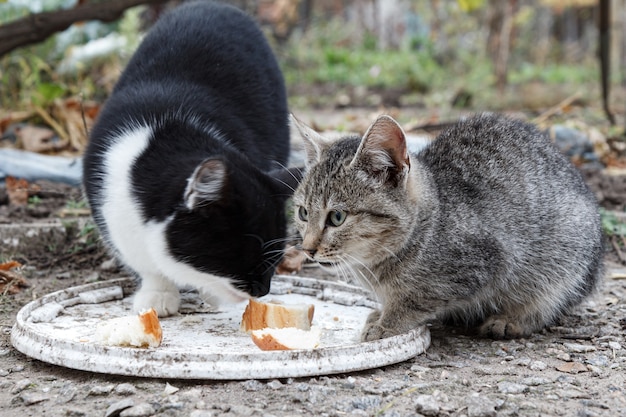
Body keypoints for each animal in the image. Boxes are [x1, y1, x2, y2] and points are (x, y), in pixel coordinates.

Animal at [83, 0, 298, 312]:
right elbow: (147, 265)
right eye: (244, 256)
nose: (263, 290)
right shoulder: (112, 216)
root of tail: (214, 5)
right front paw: (159, 293)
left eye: (276, 257)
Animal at [290, 112, 604, 340]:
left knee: (548, 302)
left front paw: (387, 322)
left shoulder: (484, 261)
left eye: (337, 217)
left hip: (567, 259)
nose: (307, 249)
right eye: (303, 212)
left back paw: (511, 320)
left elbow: (417, 298)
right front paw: (380, 314)